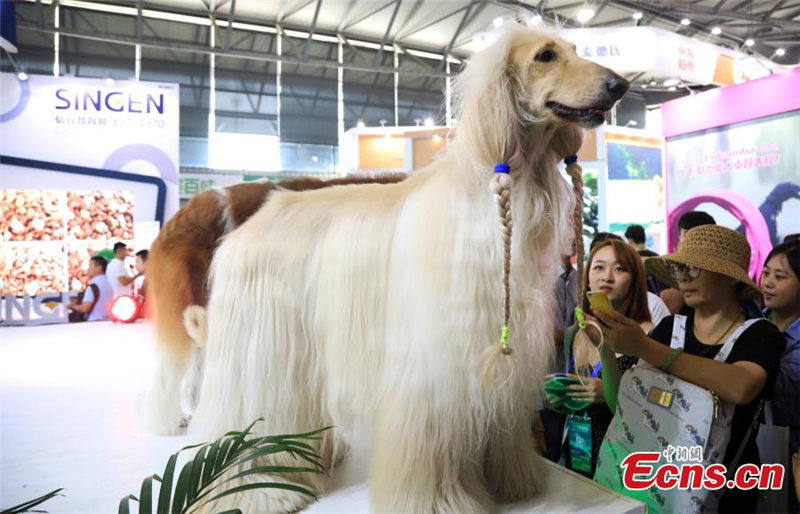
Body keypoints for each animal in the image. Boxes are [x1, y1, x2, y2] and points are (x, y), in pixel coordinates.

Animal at [189, 25, 632, 512]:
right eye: (545, 55)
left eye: (575, 49)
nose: (620, 85)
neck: (495, 193)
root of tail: (251, 224)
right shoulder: (434, 358)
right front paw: (435, 499)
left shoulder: (497, 351)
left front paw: (514, 479)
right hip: (262, 348)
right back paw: (257, 488)